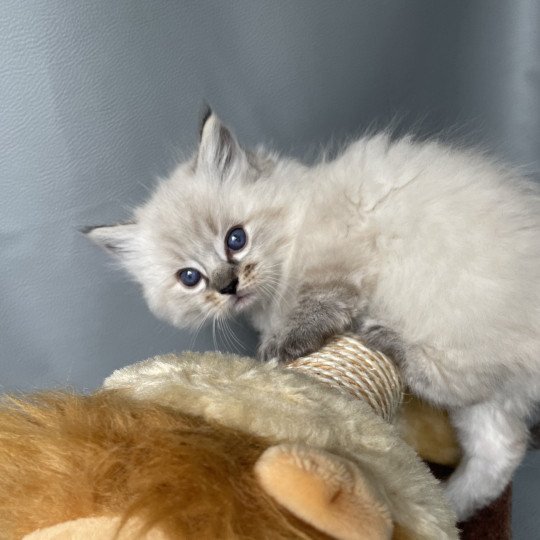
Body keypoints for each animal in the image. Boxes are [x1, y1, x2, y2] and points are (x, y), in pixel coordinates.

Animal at [86, 109, 540, 520]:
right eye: (190, 278)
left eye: (236, 239)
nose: (227, 286)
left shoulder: (333, 262)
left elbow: (315, 308)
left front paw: (280, 352)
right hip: (485, 393)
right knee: (503, 446)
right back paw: (450, 508)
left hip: (445, 321)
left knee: (448, 382)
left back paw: (384, 341)